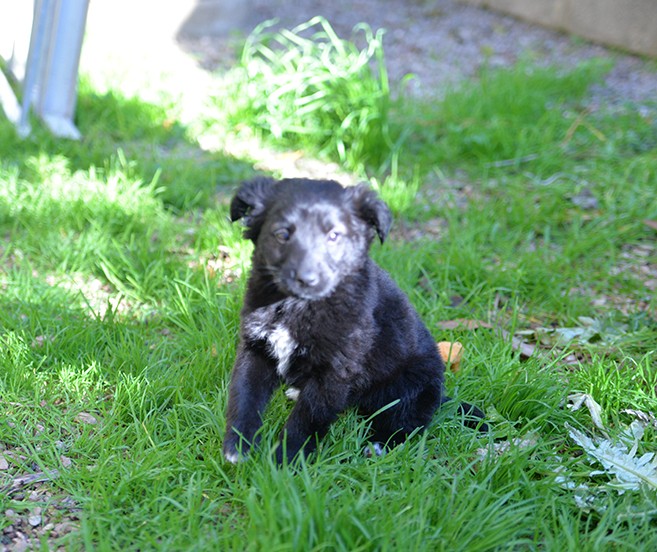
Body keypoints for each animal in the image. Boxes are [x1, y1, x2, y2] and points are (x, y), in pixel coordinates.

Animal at [223, 176, 484, 462]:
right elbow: (245, 396)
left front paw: (285, 460)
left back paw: (379, 445)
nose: (306, 279)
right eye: (282, 234)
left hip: (412, 386)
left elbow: (306, 418)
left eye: (333, 236)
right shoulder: (256, 348)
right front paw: (239, 446)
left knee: (406, 425)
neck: (299, 306)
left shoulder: (336, 371)